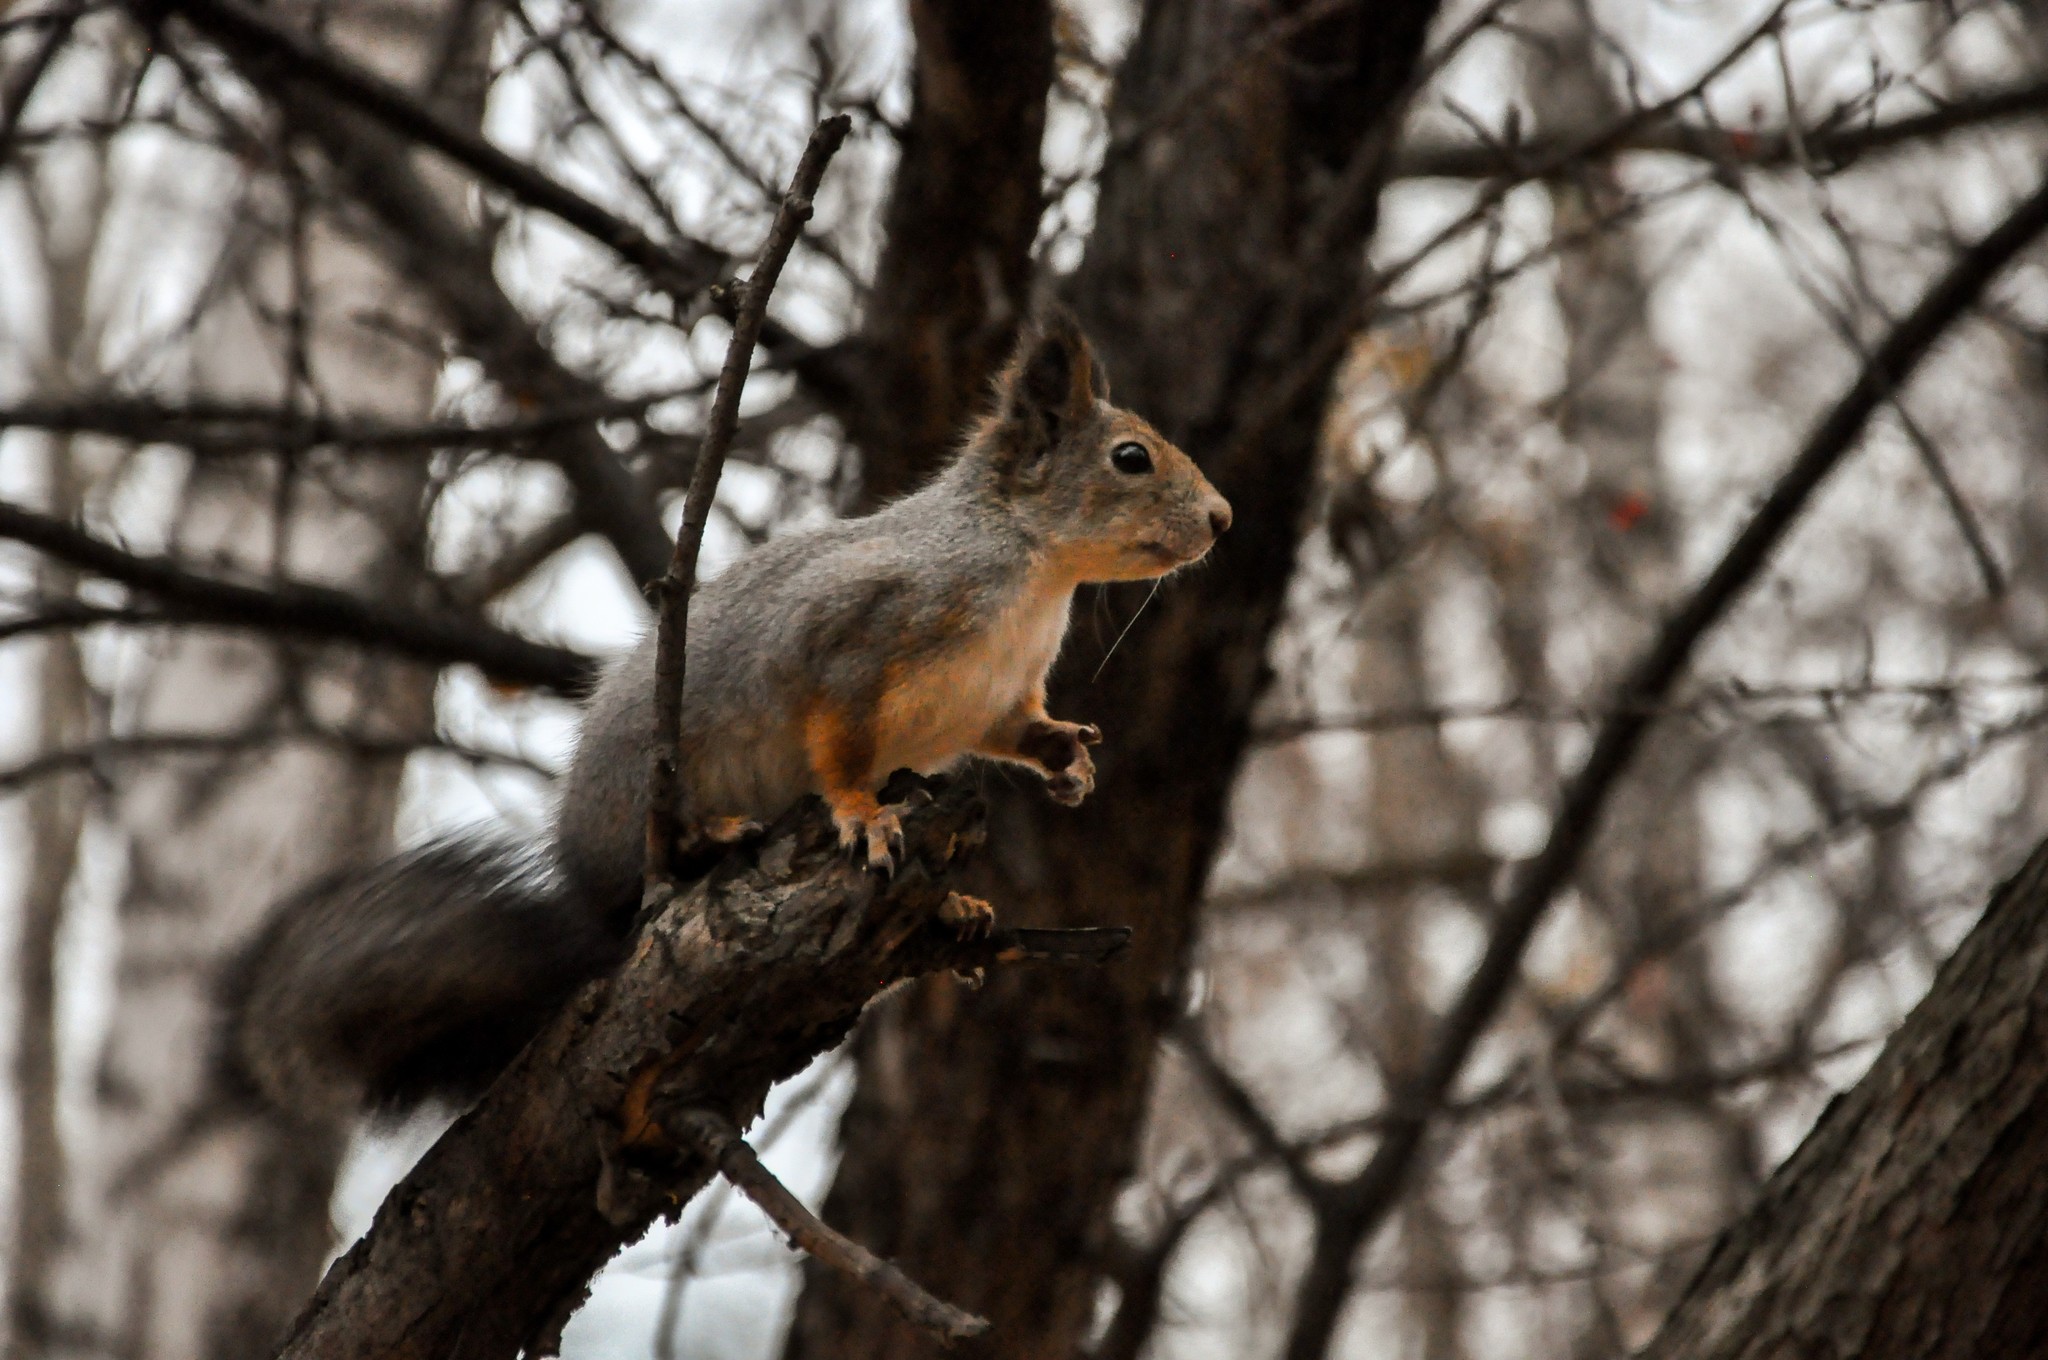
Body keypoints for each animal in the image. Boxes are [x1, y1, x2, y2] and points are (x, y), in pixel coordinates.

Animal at [232, 305, 1236, 1114]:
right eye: (1131, 458)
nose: (1225, 519)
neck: (1033, 574)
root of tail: (591, 915)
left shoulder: (995, 697)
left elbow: (1014, 732)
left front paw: (1067, 757)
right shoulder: (849, 643)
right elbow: (836, 745)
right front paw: (863, 813)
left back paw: (954, 909)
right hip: (642, 796)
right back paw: (708, 835)